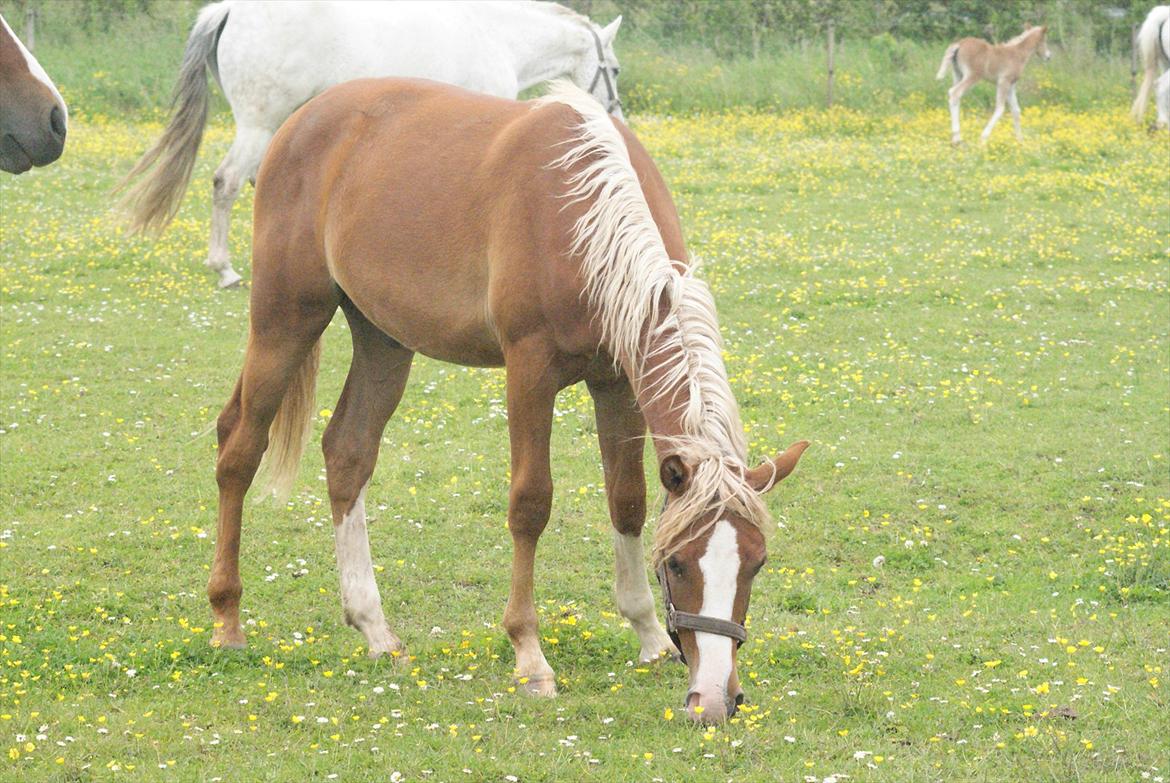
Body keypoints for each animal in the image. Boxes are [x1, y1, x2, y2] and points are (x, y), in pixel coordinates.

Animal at [121, 0, 622, 286]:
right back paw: (224, 269)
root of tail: (228, 10)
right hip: (257, 124)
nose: (614, 115)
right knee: (226, 183)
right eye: (614, 69)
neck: (494, 33)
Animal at [210, 76, 809, 725]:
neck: (582, 216)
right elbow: (530, 504)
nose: (715, 700)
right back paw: (227, 620)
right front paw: (530, 655)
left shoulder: (617, 382)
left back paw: (375, 629)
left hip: (383, 339)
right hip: (286, 317)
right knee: (239, 449)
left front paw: (650, 636)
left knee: (347, 452)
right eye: (677, 562)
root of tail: (302, 120)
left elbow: (627, 501)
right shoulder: (529, 371)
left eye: (757, 562)